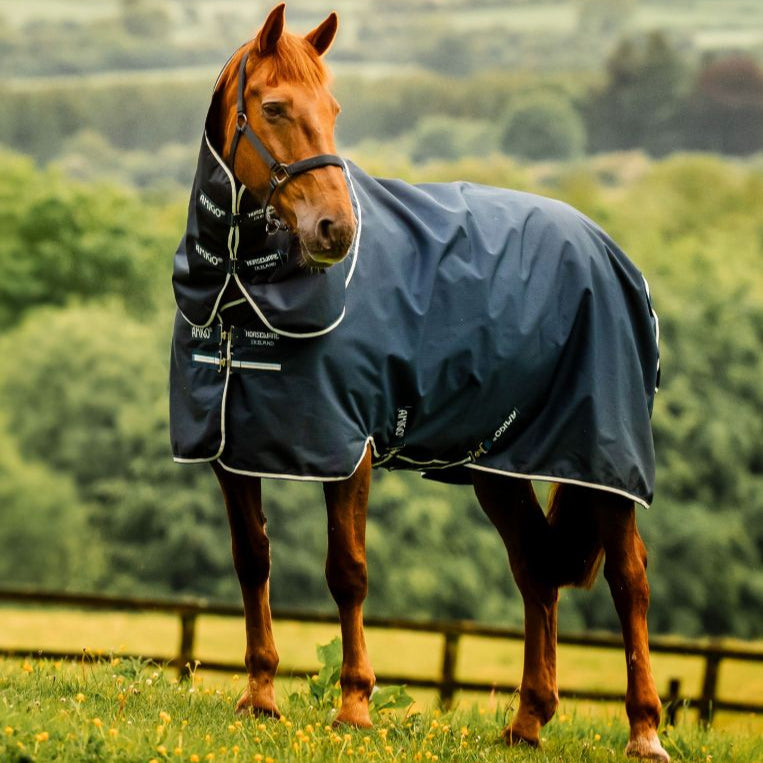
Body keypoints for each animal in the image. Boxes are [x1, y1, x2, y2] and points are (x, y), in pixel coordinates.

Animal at [169, 5, 669, 761]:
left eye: (334, 110)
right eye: (275, 107)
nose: (336, 231)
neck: (239, 294)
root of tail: (610, 252)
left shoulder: (348, 449)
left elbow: (347, 570)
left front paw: (353, 706)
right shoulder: (232, 449)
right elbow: (252, 560)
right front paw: (259, 697)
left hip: (603, 461)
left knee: (628, 579)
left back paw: (643, 730)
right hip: (499, 465)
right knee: (535, 570)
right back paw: (528, 720)